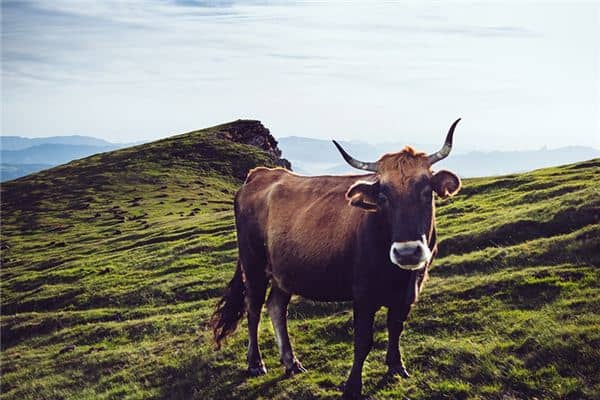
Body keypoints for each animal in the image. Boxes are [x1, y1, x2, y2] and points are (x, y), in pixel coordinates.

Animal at [211, 119, 464, 400]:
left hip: (283, 273)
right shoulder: (363, 293)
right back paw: (255, 363)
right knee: (253, 308)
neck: (398, 276)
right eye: (383, 195)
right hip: (253, 264)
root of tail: (261, 174)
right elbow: (363, 341)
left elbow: (396, 327)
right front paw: (353, 386)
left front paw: (397, 367)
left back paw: (291, 362)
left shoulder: (409, 290)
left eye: (426, 191)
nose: (407, 252)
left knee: (276, 306)